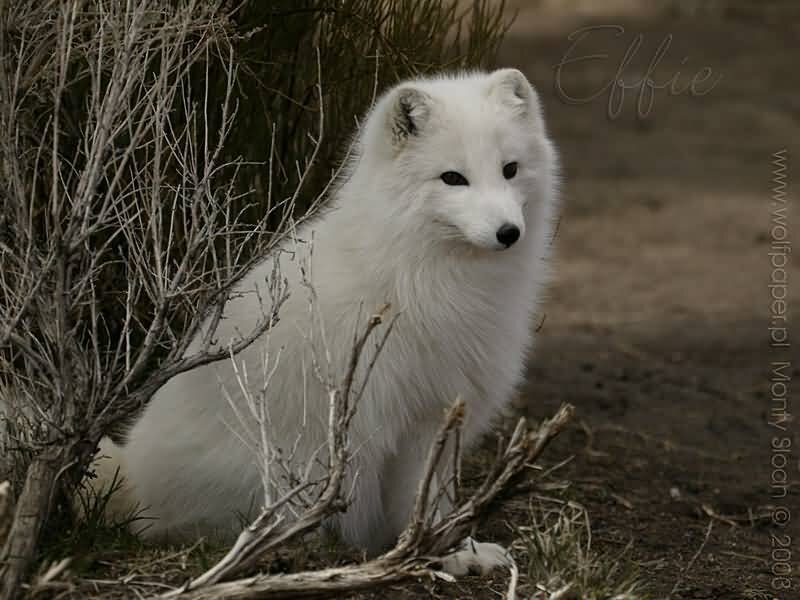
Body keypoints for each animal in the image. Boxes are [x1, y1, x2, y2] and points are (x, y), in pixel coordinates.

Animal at [94, 68, 560, 573]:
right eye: (453, 178)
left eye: (510, 169)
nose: (508, 233)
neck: (420, 262)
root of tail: (132, 473)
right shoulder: (414, 416)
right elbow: (423, 500)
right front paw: (443, 552)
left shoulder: (447, 407)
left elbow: (437, 494)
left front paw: (461, 548)